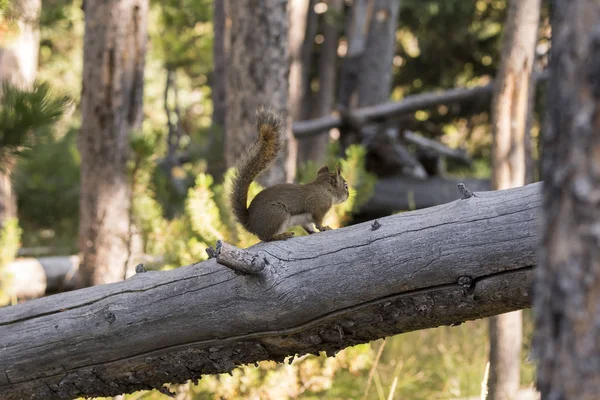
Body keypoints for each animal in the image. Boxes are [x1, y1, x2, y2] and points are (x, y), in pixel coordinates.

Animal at [231, 106, 352, 242]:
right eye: (345, 186)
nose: (348, 195)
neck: (325, 189)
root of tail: (250, 224)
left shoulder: (305, 219)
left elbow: (308, 226)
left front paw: (313, 232)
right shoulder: (318, 207)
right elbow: (318, 221)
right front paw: (324, 227)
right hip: (277, 213)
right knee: (265, 237)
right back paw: (282, 235)